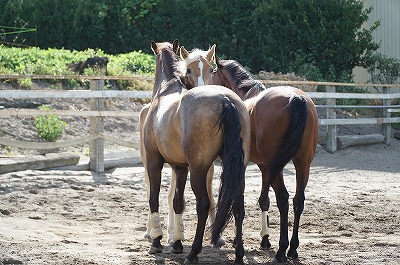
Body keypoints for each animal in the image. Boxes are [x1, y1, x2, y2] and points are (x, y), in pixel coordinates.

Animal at [143, 39, 250, 264]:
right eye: (190, 70)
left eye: (211, 69)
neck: (166, 89)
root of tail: (225, 100)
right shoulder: (180, 167)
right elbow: (178, 202)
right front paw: (176, 242)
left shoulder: (154, 162)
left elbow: (154, 198)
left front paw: (157, 241)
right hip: (239, 170)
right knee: (238, 207)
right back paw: (238, 254)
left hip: (199, 170)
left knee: (203, 205)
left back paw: (193, 252)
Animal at [181, 52, 318, 262]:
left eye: (212, 71)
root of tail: (296, 98)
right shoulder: (263, 166)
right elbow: (264, 200)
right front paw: (265, 239)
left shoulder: (257, 166)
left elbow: (253, 199)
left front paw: (254, 240)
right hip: (302, 163)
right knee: (297, 200)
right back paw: (292, 249)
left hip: (275, 166)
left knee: (283, 198)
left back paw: (282, 250)